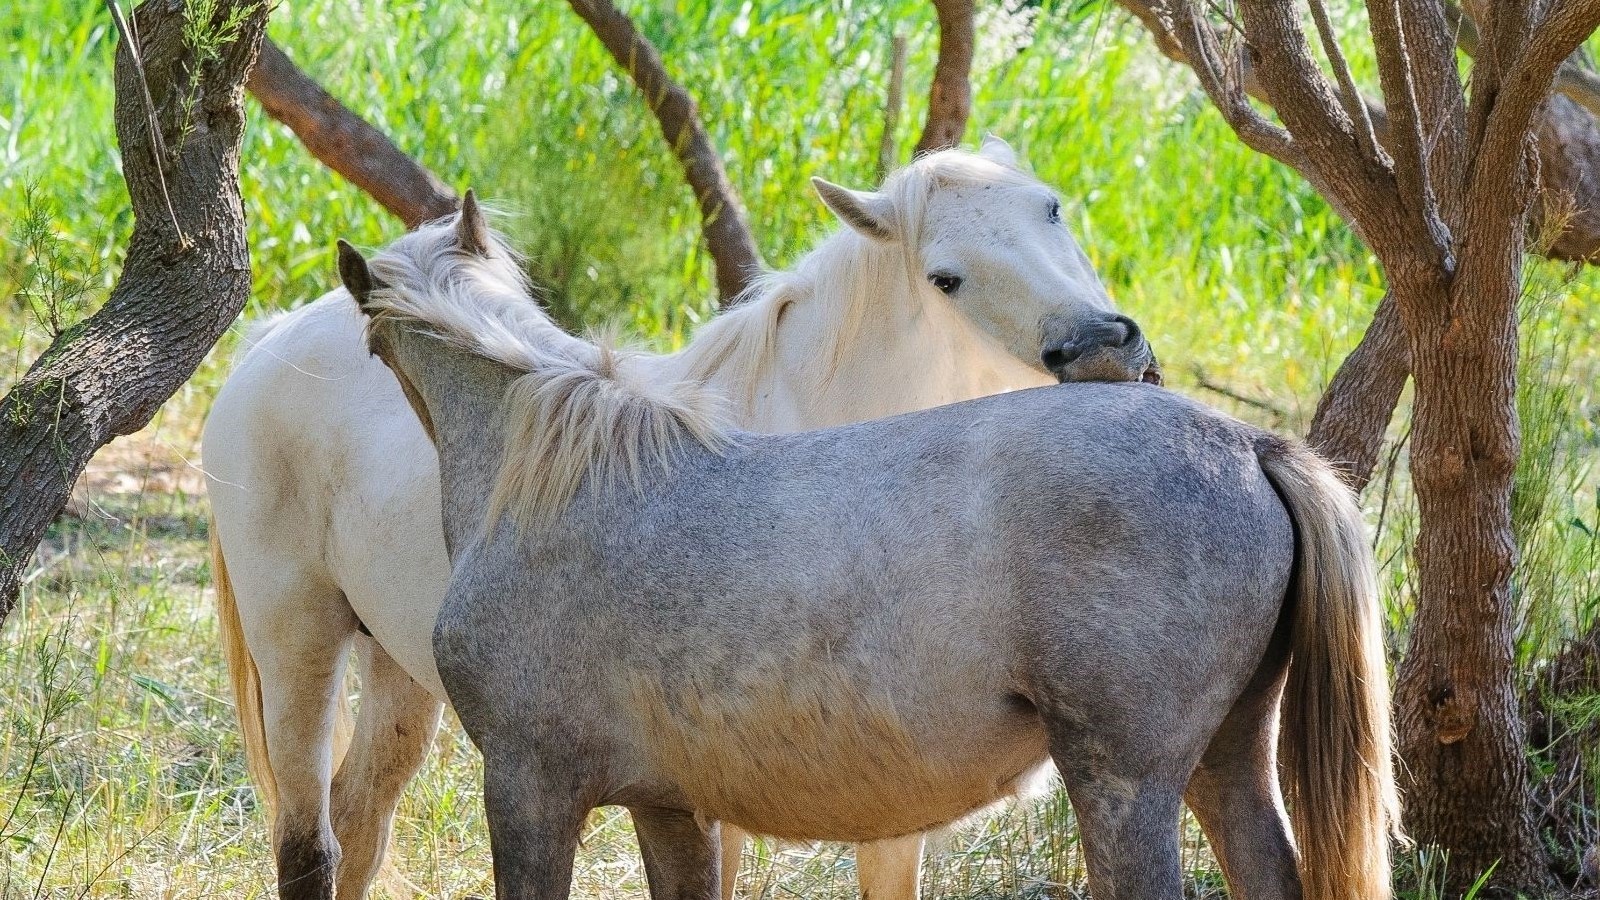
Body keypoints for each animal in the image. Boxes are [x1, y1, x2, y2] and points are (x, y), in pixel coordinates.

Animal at [201, 137, 1158, 900]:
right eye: (945, 278)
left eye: (1053, 208)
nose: (1106, 347)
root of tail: (271, 339)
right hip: (300, 647)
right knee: (310, 840)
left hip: (400, 677)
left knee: (360, 824)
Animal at [337, 217, 1399, 900]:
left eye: (369, 339)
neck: (551, 473)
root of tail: (1245, 444)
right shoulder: (670, 809)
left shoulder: (528, 790)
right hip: (1226, 765)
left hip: (1126, 790)